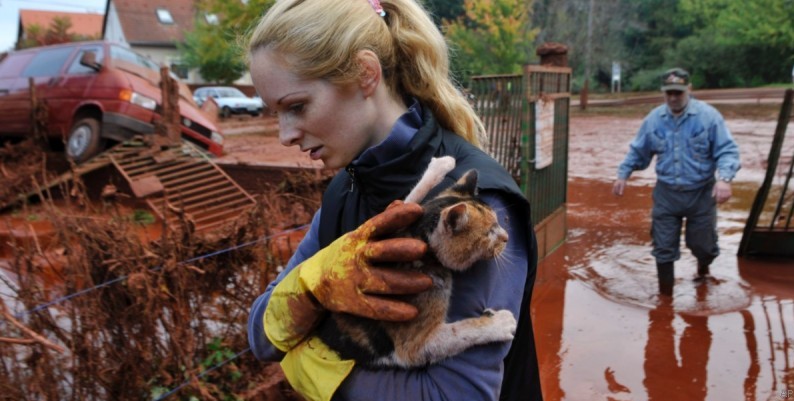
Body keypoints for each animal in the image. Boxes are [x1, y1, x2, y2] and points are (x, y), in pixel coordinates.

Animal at [318, 155, 516, 366]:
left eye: (497, 222)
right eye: (489, 233)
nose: (507, 237)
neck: (418, 237)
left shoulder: (389, 227)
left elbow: (408, 203)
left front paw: (441, 165)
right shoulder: (413, 345)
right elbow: (462, 330)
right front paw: (499, 323)